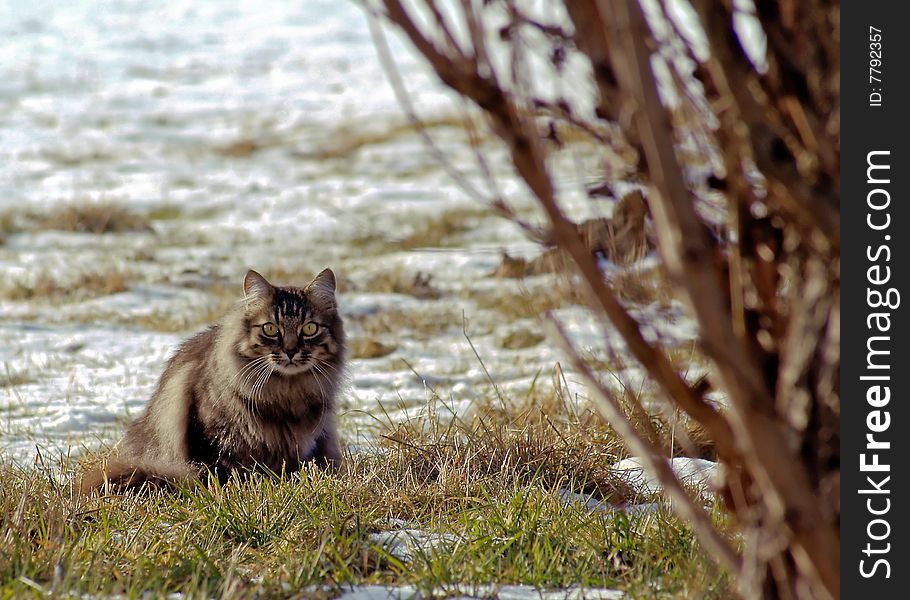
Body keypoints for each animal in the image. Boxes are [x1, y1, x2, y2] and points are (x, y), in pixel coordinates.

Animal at [80, 268, 346, 492]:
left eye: (309, 328)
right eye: (270, 329)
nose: (290, 351)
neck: (286, 392)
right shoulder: (212, 438)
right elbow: (225, 472)